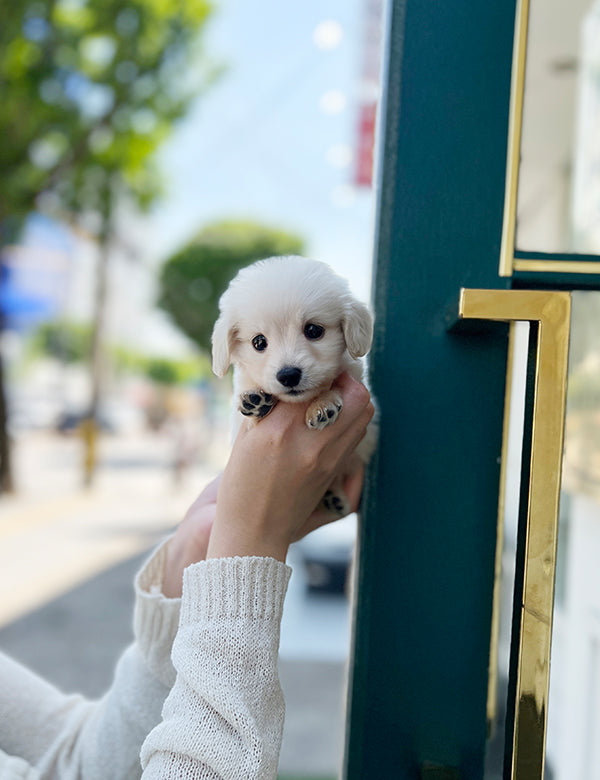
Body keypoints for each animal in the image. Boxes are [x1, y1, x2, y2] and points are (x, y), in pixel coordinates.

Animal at [212, 253, 376, 516]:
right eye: (259, 342)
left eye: (314, 330)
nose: (288, 375)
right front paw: (256, 403)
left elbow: (334, 384)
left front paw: (323, 404)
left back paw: (335, 498)